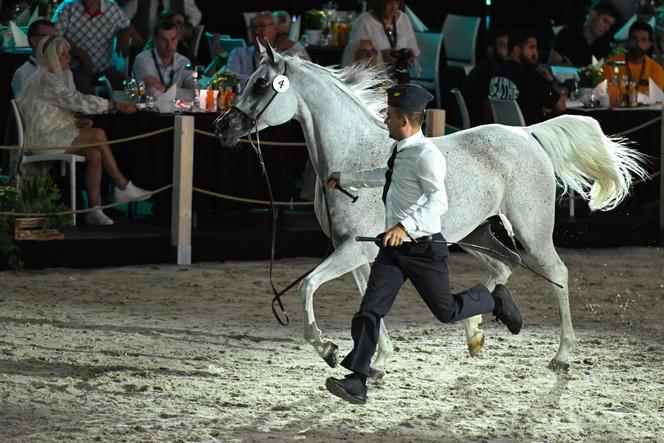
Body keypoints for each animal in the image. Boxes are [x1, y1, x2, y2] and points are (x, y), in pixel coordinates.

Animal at [214, 45, 648, 372]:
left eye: (262, 84)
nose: (223, 127)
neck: (352, 154)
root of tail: (526, 133)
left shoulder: (352, 249)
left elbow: (307, 286)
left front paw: (328, 350)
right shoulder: (354, 250)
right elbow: (366, 299)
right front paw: (377, 360)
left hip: (532, 230)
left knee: (556, 273)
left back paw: (561, 355)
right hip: (475, 233)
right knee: (503, 266)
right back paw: (476, 335)